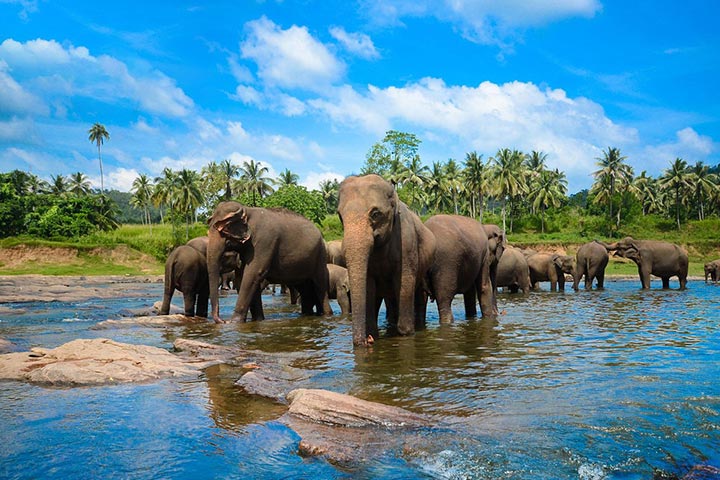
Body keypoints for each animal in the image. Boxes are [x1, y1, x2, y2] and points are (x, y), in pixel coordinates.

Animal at [336, 174, 434, 346]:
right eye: (340, 216)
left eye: (375, 214)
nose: (367, 340)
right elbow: (369, 286)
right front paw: (373, 334)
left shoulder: (407, 243)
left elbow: (405, 282)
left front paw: (406, 333)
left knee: (419, 294)